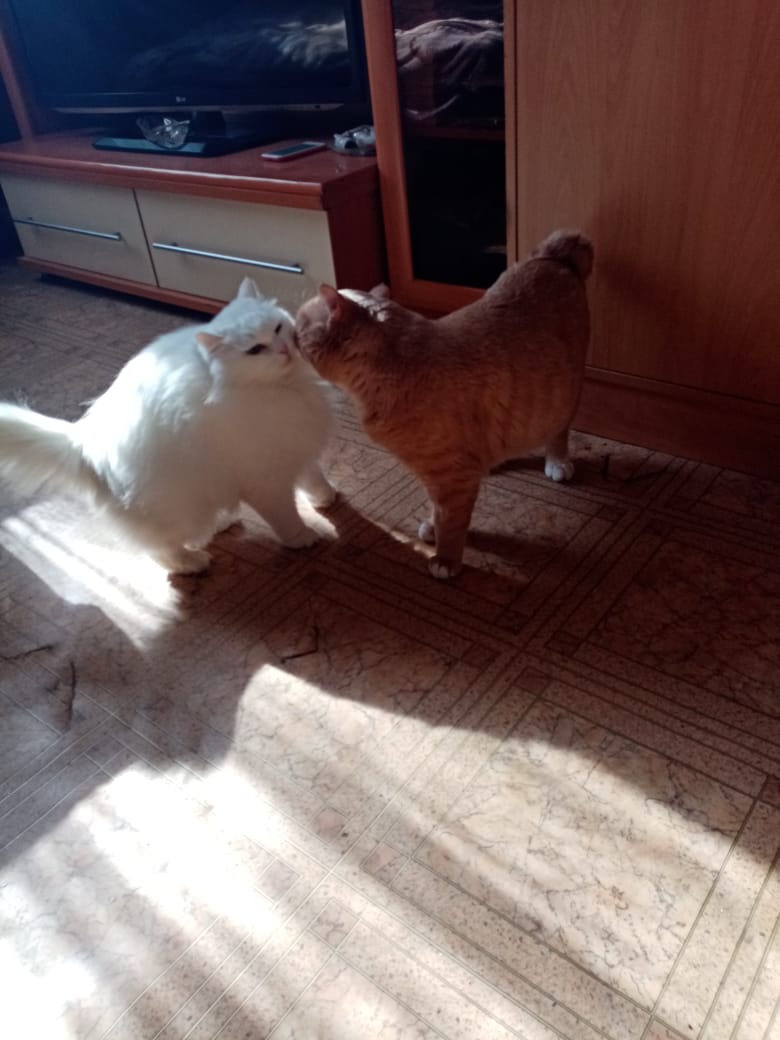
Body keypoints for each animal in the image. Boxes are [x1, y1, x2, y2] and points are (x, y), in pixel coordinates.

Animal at [0, 277, 336, 575]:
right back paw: (193, 563)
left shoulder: (295, 444)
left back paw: (221, 523)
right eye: (255, 350)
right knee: (161, 551)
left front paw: (327, 498)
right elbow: (285, 516)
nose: (284, 350)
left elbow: (313, 478)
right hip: (175, 509)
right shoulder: (265, 478)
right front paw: (303, 537)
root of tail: (84, 442)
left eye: (278, 329)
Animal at [295, 229, 593, 579]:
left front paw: (445, 559)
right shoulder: (441, 477)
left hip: (562, 397)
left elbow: (450, 523)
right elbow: (439, 512)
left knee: (559, 433)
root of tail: (553, 255)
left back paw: (557, 462)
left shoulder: (452, 478)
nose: (287, 329)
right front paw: (433, 531)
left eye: (298, 324)